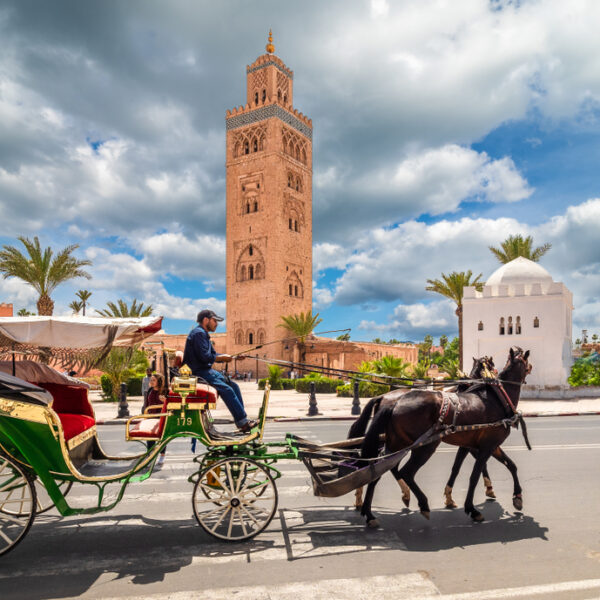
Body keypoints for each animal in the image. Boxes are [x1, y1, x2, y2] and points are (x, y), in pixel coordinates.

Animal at [352, 346, 528, 524]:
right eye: (491, 366)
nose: (493, 374)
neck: (496, 399)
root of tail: (389, 401)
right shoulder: (487, 445)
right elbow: (476, 473)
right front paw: (478, 502)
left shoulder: (471, 444)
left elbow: (461, 468)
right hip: (424, 446)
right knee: (403, 471)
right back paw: (419, 503)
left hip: (398, 442)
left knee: (380, 467)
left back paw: (370, 509)